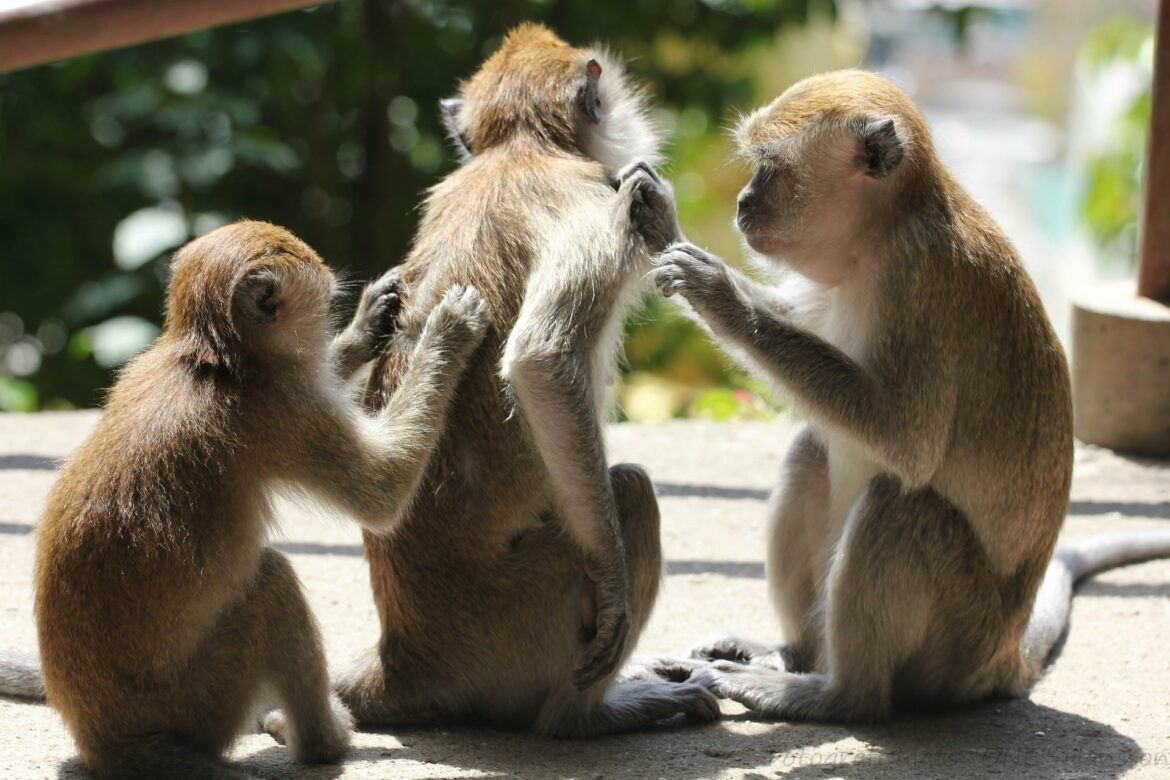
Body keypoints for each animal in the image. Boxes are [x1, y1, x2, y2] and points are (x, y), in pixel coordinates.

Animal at [13, 222, 484, 776]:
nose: (333, 322)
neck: (213, 359)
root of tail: (104, 742)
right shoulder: (280, 409)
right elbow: (381, 491)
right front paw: (448, 333)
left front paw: (368, 326)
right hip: (202, 701)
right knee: (271, 582)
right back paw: (323, 742)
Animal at [334, 21, 716, 734]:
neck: (519, 147)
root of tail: (404, 657)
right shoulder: (597, 202)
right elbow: (542, 360)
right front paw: (616, 592)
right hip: (521, 623)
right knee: (630, 489)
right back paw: (588, 716)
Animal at [631, 70, 1170, 725]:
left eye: (771, 169)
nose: (743, 203)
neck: (880, 235)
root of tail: (1003, 656)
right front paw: (663, 227)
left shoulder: (919, 284)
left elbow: (908, 443)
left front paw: (718, 294)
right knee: (811, 451)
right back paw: (792, 653)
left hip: (957, 640)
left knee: (904, 503)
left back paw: (834, 694)